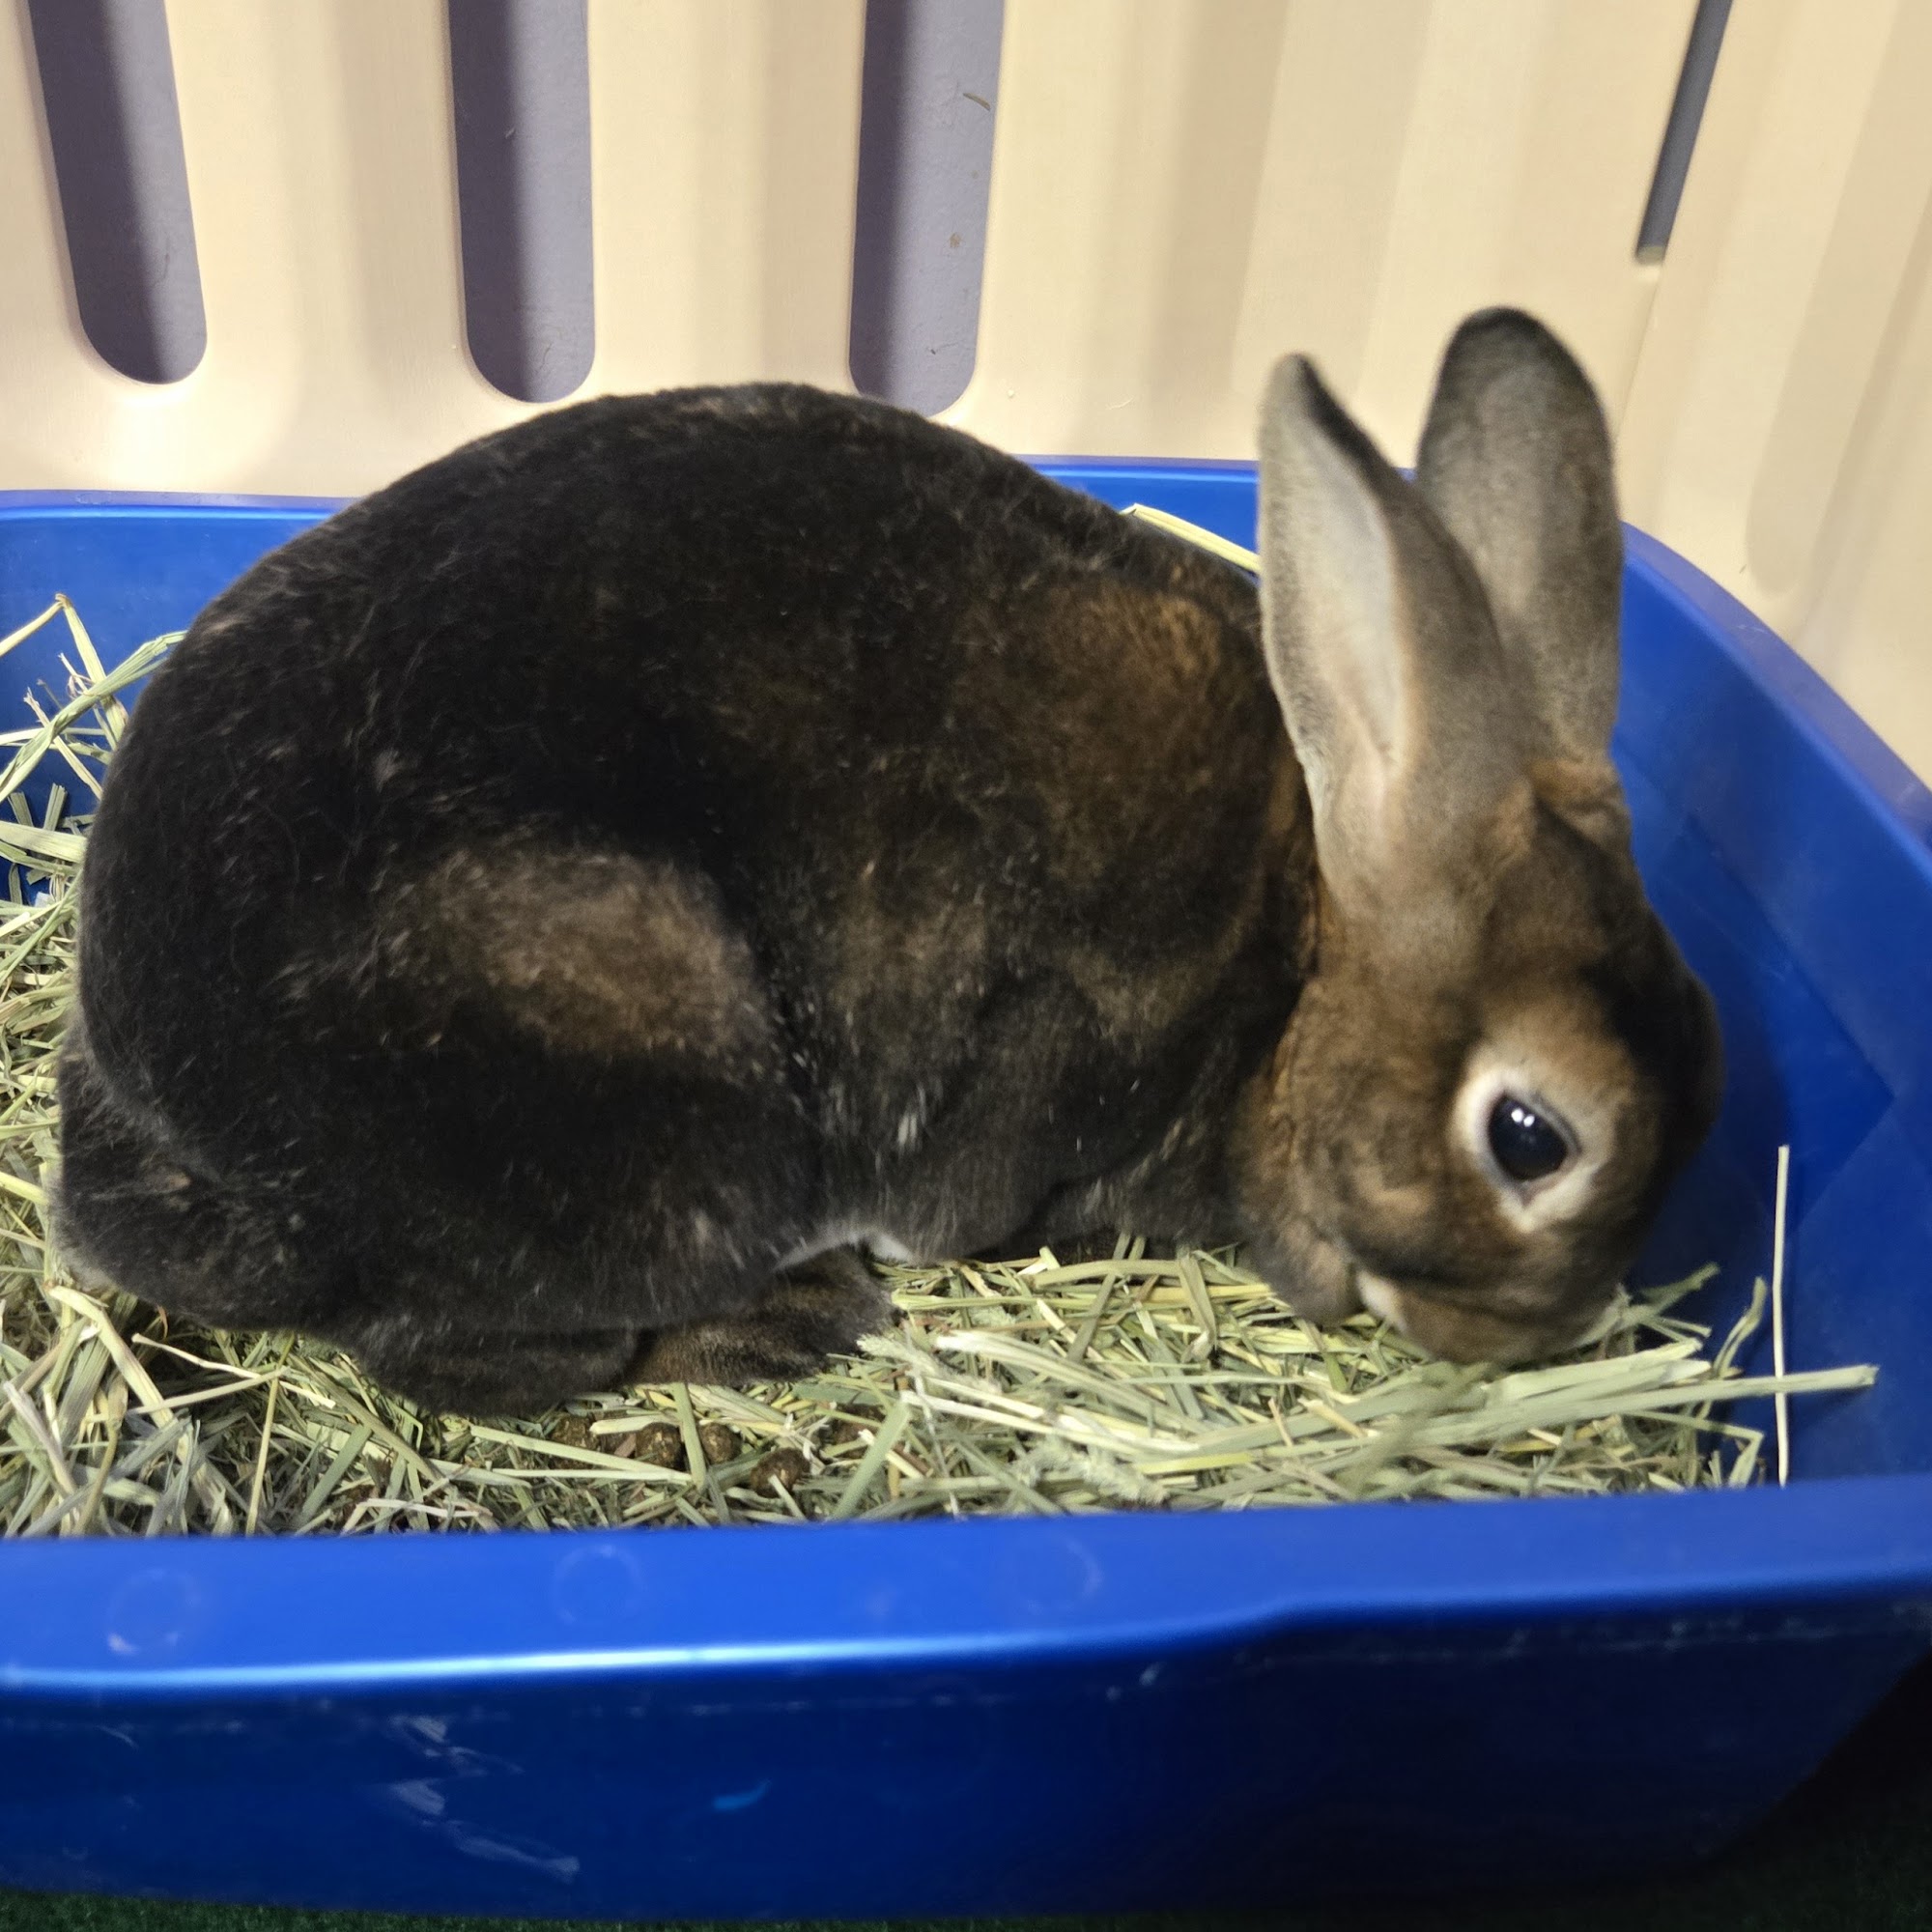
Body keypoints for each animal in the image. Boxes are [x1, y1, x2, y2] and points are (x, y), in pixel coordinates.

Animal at [52, 307, 1722, 1416]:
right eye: (1532, 1138)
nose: (1529, 1337)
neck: (1302, 957)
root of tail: (145, 1135)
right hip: (657, 1082)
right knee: (489, 1354)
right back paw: (791, 1323)